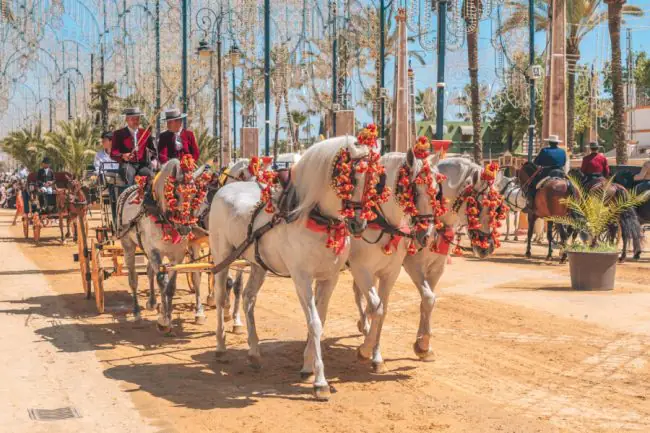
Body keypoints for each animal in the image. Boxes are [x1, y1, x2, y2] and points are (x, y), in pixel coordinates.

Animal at [117, 159, 205, 330]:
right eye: (175, 194)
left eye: (194, 195)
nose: (185, 228)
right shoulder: (154, 251)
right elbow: (161, 282)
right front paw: (163, 319)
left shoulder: (177, 255)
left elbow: (170, 287)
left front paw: (167, 317)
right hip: (128, 244)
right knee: (133, 278)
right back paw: (137, 312)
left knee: (150, 271)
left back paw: (152, 302)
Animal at [210, 135, 374, 398]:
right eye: (349, 177)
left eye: (372, 178)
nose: (359, 223)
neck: (315, 218)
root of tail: (223, 188)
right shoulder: (301, 278)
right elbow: (314, 323)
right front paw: (320, 381)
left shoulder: (329, 278)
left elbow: (320, 320)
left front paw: (307, 366)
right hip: (221, 255)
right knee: (220, 295)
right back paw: (221, 346)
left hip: (258, 264)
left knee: (248, 298)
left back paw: (254, 352)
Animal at [350, 149, 440, 372]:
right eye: (414, 190)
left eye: (436, 192)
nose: (427, 235)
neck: (384, 223)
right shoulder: (360, 268)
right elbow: (377, 308)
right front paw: (365, 351)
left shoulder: (390, 273)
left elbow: (383, 310)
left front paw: (376, 356)